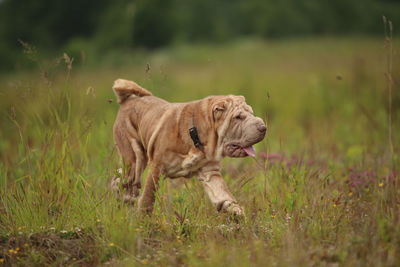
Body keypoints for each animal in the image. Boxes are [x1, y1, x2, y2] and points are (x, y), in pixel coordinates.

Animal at [110, 78, 266, 217]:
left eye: (251, 113)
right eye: (238, 117)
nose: (263, 127)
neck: (197, 133)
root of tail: (127, 100)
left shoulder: (210, 172)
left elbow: (223, 193)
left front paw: (236, 211)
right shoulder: (157, 168)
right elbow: (148, 197)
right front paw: (143, 220)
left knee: (120, 178)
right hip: (135, 158)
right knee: (126, 179)